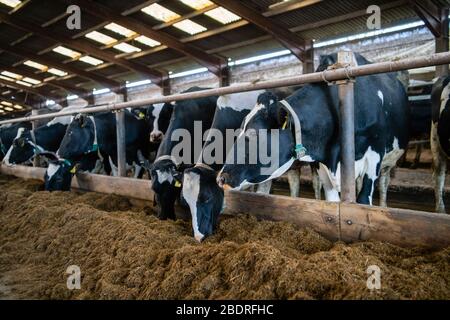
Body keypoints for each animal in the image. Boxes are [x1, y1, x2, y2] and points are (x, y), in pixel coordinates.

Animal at [216, 53, 410, 205]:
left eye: (253, 133)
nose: (221, 178)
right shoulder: (323, 165)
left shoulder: (374, 156)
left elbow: (363, 200)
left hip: (388, 162)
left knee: (383, 184)